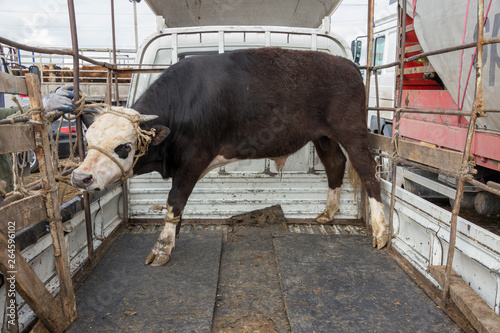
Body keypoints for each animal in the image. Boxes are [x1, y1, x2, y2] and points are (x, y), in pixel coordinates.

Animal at [72, 47, 388, 264]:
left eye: (124, 146)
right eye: (88, 140)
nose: (80, 177)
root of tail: (347, 65)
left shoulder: (193, 159)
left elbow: (174, 202)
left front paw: (162, 248)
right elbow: (178, 207)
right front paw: (173, 237)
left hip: (352, 132)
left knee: (369, 173)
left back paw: (381, 232)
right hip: (323, 137)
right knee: (335, 164)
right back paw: (328, 213)